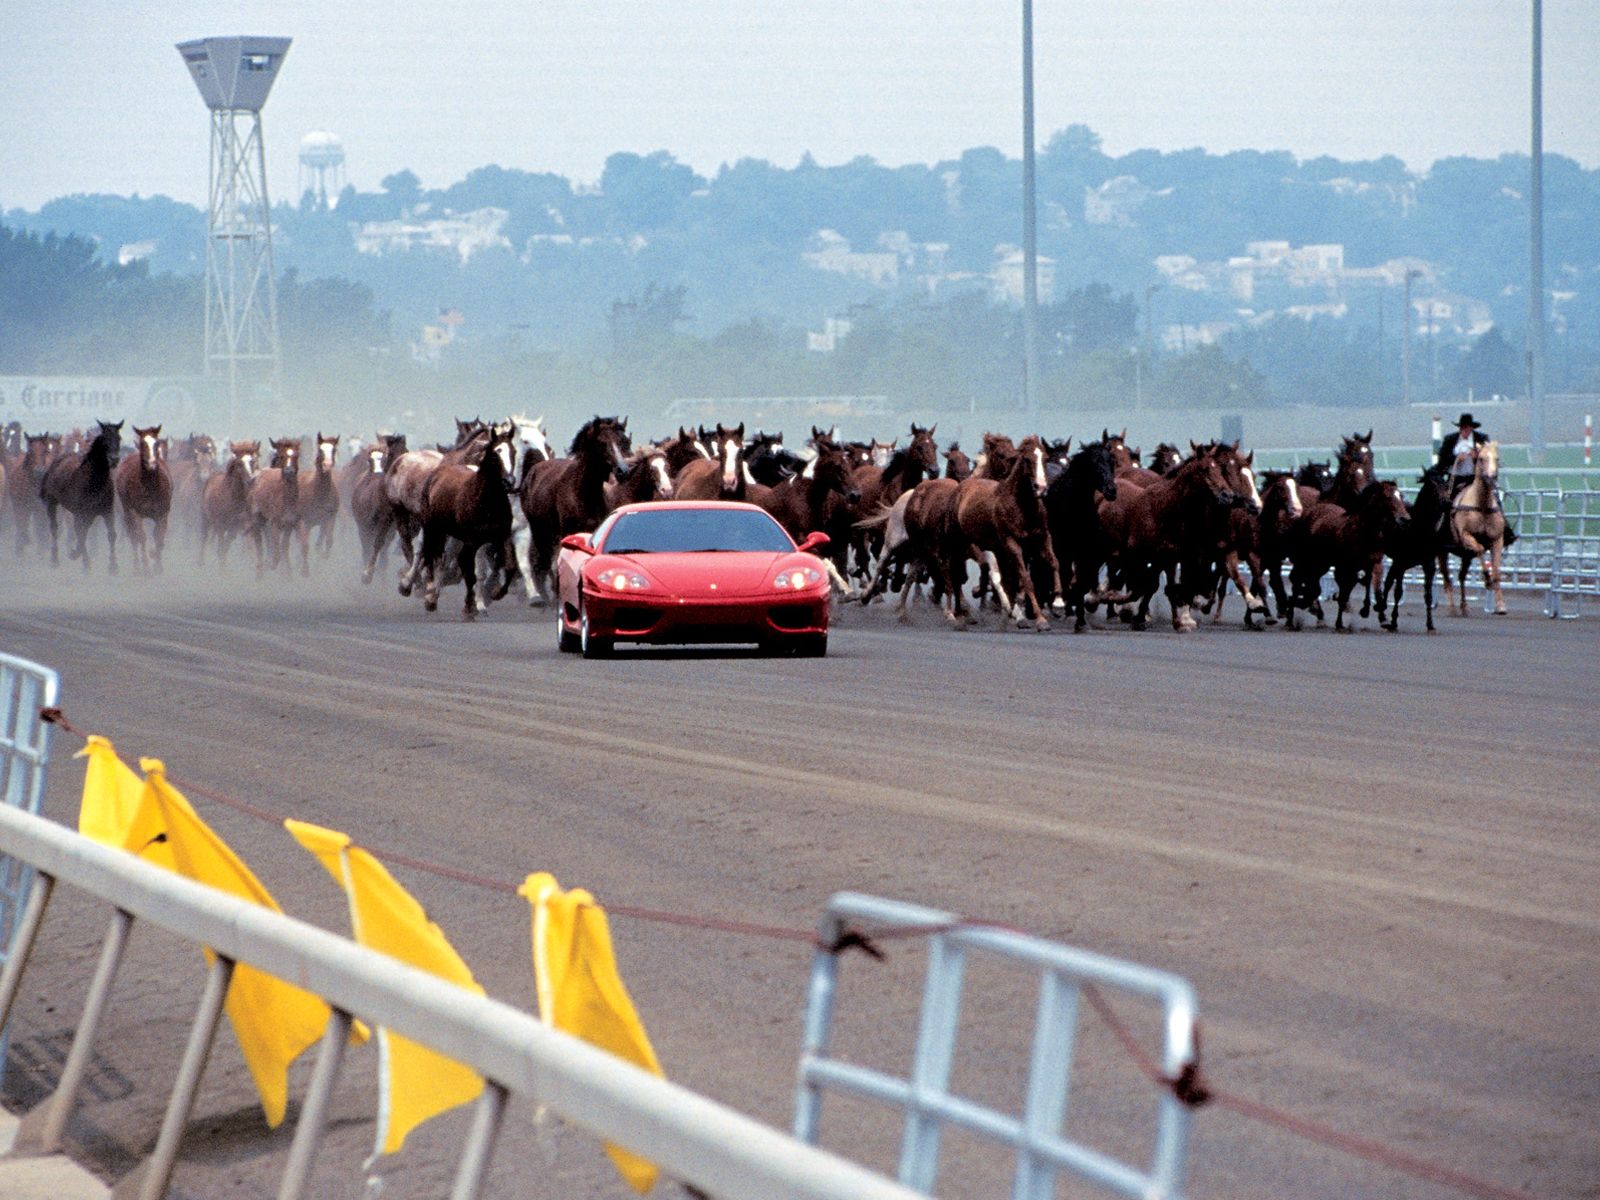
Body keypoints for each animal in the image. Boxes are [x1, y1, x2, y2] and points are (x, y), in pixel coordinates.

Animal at [41, 419, 121, 576]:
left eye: (119, 438)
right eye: (105, 440)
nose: (114, 459)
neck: (94, 482)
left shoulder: (107, 511)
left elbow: (111, 534)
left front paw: (113, 566)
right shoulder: (80, 512)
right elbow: (81, 533)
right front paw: (84, 562)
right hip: (52, 502)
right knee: (55, 528)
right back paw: (55, 559)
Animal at [112, 425, 172, 576]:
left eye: (156, 444)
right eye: (142, 444)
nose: (152, 464)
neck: (151, 487)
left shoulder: (162, 513)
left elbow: (159, 536)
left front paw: (157, 565)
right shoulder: (135, 512)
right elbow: (141, 536)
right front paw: (145, 567)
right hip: (126, 510)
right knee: (134, 536)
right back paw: (137, 567)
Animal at [201, 441, 260, 569]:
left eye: (252, 461)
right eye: (239, 463)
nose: (251, 480)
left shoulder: (235, 528)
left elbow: (225, 549)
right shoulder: (221, 526)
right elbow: (220, 549)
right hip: (206, 520)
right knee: (204, 538)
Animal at [1446, 438, 1504, 614]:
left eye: (1497, 458)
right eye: (1481, 458)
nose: (1492, 477)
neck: (1482, 507)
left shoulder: (1497, 540)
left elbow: (1497, 571)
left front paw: (1501, 605)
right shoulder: (1466, 536)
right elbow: (1479, 549)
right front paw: (1486, 580)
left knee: (1461, 576)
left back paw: (1464, 606)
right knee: (1446, 576)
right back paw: (1451, 607)